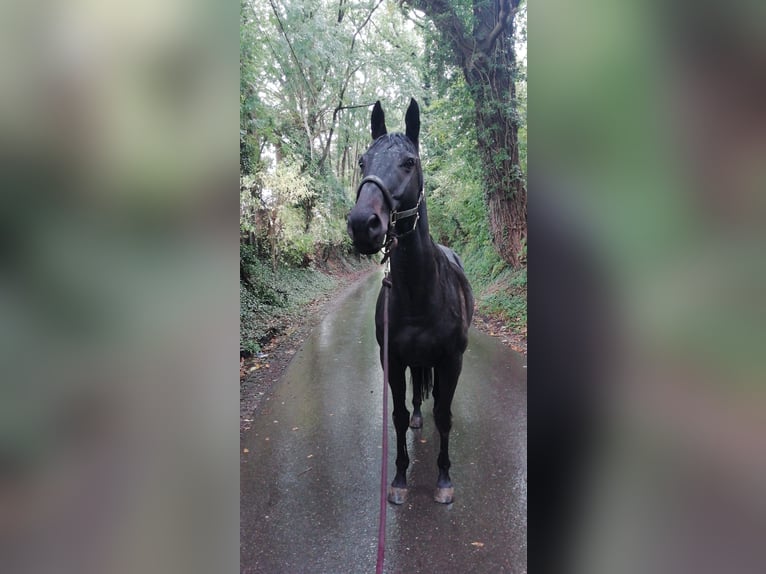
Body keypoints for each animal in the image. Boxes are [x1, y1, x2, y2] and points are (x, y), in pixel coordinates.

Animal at [350, 101, 474, 506]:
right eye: (362, 160)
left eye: (408, 162)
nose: (363, 224)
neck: (420, 293)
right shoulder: (392, 360)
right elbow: (399, 415)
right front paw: (400, 477)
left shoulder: (452, 361)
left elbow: (445, 415)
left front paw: (444, 479)